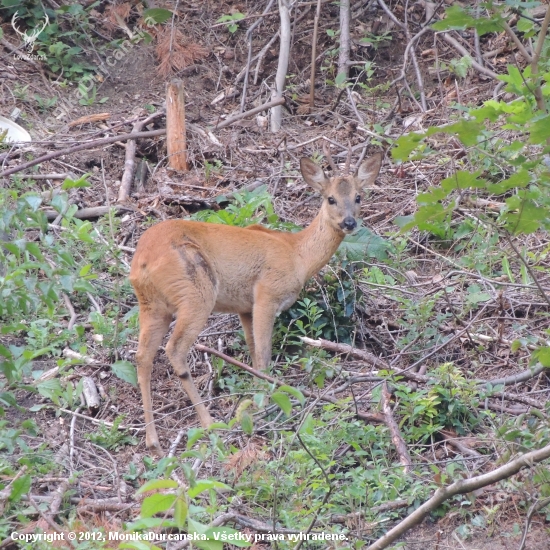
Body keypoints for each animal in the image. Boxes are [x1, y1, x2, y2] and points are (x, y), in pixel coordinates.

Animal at [132, 151, 386, 452]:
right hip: (196, 294)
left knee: (142, 356)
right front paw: (266, 405)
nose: (349, 223)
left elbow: (253, 354)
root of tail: (142, 262)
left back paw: (153, 442)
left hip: (152, 306)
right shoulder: (267, 293)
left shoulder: (244, 307)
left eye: (358, 196)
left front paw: (256, 400)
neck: (297, 255)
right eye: (330, 198)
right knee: (174, 349)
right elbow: (264, 355)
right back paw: (210, 424)